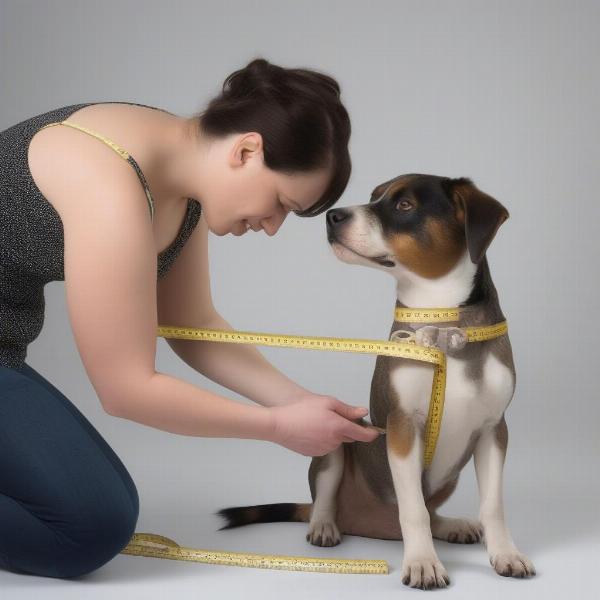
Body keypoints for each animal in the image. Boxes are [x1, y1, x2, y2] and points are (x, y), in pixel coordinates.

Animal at [216, 175, 536, 592]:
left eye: (404, 205)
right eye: (373, 197)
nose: (333, 216)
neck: (445, 323)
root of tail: (367, 525)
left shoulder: (493, 430)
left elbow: (492, 505)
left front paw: (506, 554)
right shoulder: (403, 427)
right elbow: (413, 509)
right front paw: (422, 563)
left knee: (432, 513)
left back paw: (451, 526)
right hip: (339, 440)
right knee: (327, 496)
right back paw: (324, 525)